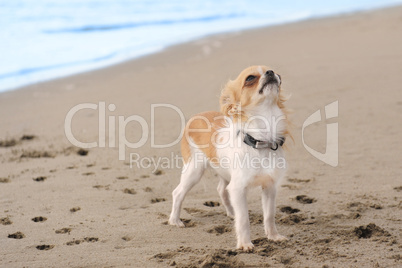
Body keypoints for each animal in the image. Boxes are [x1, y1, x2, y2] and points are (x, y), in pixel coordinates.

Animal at [168, 65, 290, 251]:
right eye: (250, 78)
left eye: (277, 74)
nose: (270, 73)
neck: (260, 141)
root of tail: (195, 117)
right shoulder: (238, 188)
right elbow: (244, 219)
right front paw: (245, 244)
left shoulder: (269, 187)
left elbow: (269, 215)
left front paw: (273, 236)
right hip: (194, 171)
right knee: (178, 192)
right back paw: (175, 220)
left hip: (224, 172)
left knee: (222, 190)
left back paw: (231, 212)